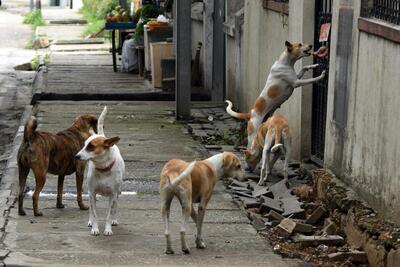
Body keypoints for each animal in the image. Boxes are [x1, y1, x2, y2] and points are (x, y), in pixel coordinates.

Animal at [75, 107, 124, 237]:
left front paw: (108, 229)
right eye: (84, 145)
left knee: (116, 207)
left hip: (118, 192)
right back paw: (90, 221)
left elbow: (109, 213)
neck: (103, 169)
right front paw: (95, 228)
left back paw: (114, 220)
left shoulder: (112, 194)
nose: (76, 156)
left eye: (91, 146)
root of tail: (103, 135)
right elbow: (94, 213)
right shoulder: (92, 193)